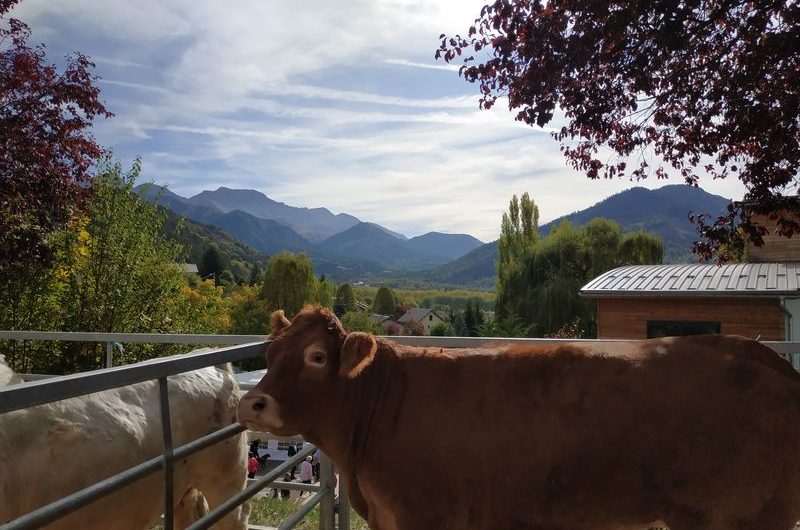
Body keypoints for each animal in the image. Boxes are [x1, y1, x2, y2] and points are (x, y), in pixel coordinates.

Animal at [238, 306, 800, 528]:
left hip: (744, 516)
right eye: (270, 352)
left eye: (316, 356)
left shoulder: (427, 516)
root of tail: (766, 359)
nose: (250, 403)